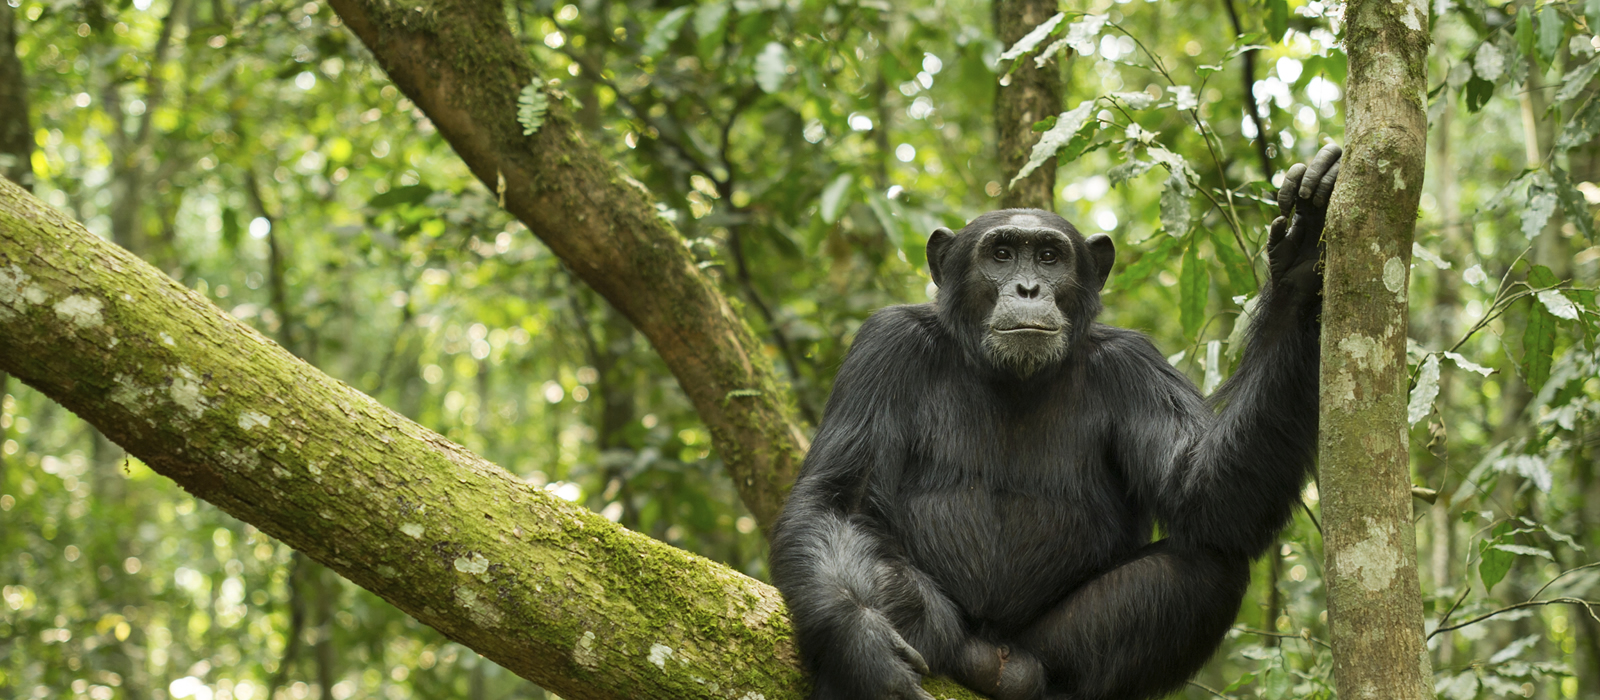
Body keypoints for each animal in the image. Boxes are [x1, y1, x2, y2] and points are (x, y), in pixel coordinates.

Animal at [768, 143, 1344, 700]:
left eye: (1048, 257)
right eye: (1001, 254)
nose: (1027, 288)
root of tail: (994, 655)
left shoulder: (1134, 366)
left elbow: (1205, 495)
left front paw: (1302, 259)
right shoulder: (885, 346)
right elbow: (839, 502)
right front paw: (860, 645)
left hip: (1047, 645)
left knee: (1206, 565)